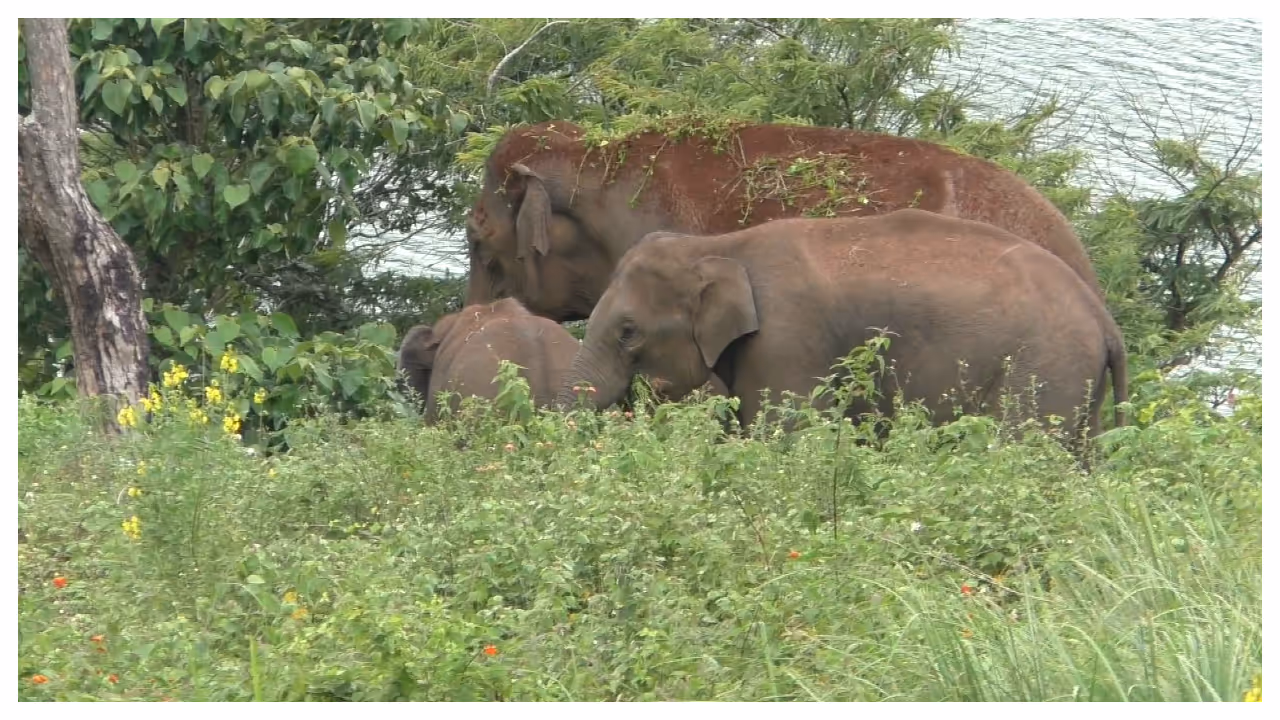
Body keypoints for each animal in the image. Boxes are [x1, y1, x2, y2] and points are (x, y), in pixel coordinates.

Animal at [555, 209, 1128, 453]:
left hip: (1041, 370)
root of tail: (1105, 319)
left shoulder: (786, 341)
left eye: (628, 331)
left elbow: (786, 435)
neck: (719, 244)